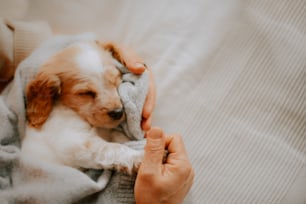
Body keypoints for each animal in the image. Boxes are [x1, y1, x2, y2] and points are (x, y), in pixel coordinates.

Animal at [21, 41, 143, 174]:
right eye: (86, 93)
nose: (118, 112)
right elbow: (110, 148)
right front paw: (138, 157)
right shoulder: (72, 141)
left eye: (115, 81)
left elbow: (118, 137)